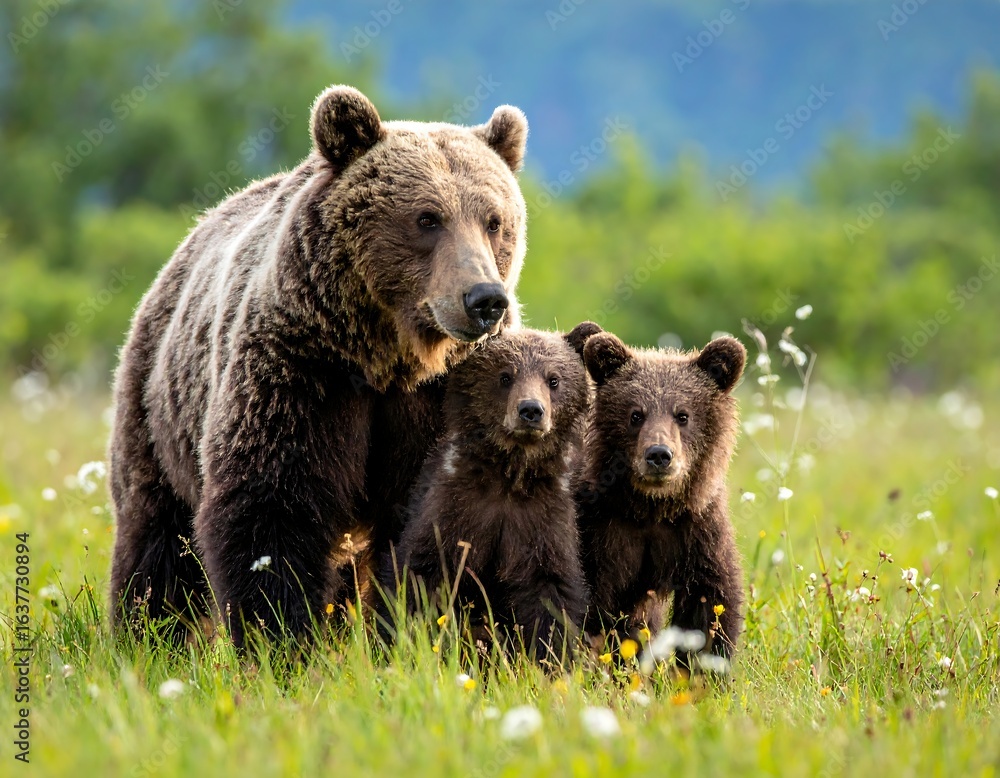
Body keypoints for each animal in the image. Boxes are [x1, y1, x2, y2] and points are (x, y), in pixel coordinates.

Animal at [108, 84, 530, 647]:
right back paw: (146, 634)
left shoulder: (444, 398)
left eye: (494, 221)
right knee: (156, 533)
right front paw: (281, 636)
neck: (389, 359)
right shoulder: (302, 368)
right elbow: (272, 503)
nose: (485, 299)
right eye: (427, 217)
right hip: (158, 407)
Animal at [386, 323, 602, 662]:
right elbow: (420, 573)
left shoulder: (542, 518)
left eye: (554, 379)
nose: (531, 410)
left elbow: (550, 591)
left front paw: (548, 657)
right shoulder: (456, 507)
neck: (508, 476)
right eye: (505, 376)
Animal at [575, 332, 747, 664]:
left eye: (683, 415)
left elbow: (710, 603)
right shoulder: (599, 530)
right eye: (635, 414)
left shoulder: (696, 530)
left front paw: (703, 667)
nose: (658, 454)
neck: (650, 506)